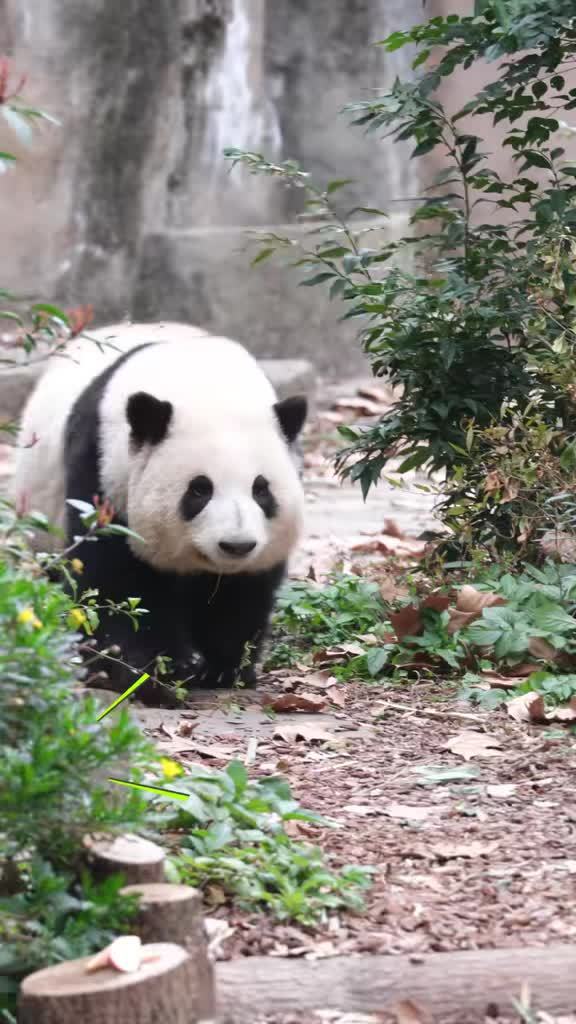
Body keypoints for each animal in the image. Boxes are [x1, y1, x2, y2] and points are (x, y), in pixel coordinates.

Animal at [12, 321, 305, 704]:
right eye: (200, 489)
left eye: (261, 489)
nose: (236, 545)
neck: (203, 381)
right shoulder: (102, 468)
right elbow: (115, 581)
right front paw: (151, 673)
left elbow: (241, 594)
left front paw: (225, 669)